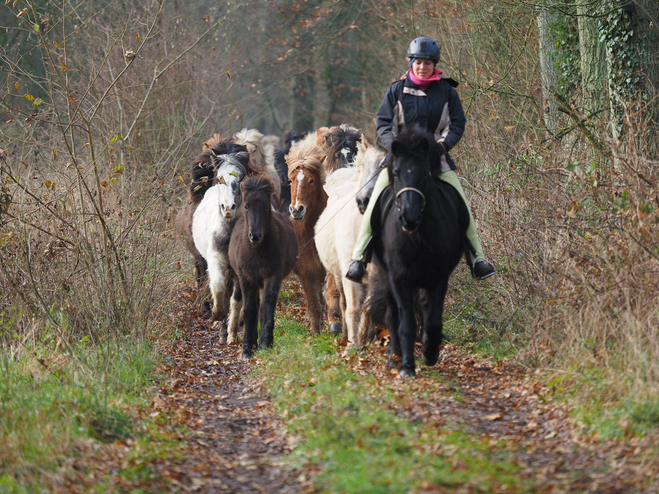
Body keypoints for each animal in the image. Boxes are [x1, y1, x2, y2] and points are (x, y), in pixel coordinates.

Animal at [228, 176, 298, 356]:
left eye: (266, 206)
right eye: (246, 206)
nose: (255, 236)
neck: (257, 252)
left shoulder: (272, 276)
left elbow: (267, 304)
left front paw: (265, 343)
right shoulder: (246, 278)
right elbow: (250, 308)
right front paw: (247, 348)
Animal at [372, 125, 470, 376]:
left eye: (425, 174)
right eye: (396, 173)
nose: (409, 217)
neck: (417, 236)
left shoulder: (439, 278)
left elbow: (433, 321)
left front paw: (430, 353)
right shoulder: (400, 278)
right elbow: (406, 323)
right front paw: (407, 366)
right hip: (386, 277)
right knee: (393, 315)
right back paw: (394, 358)